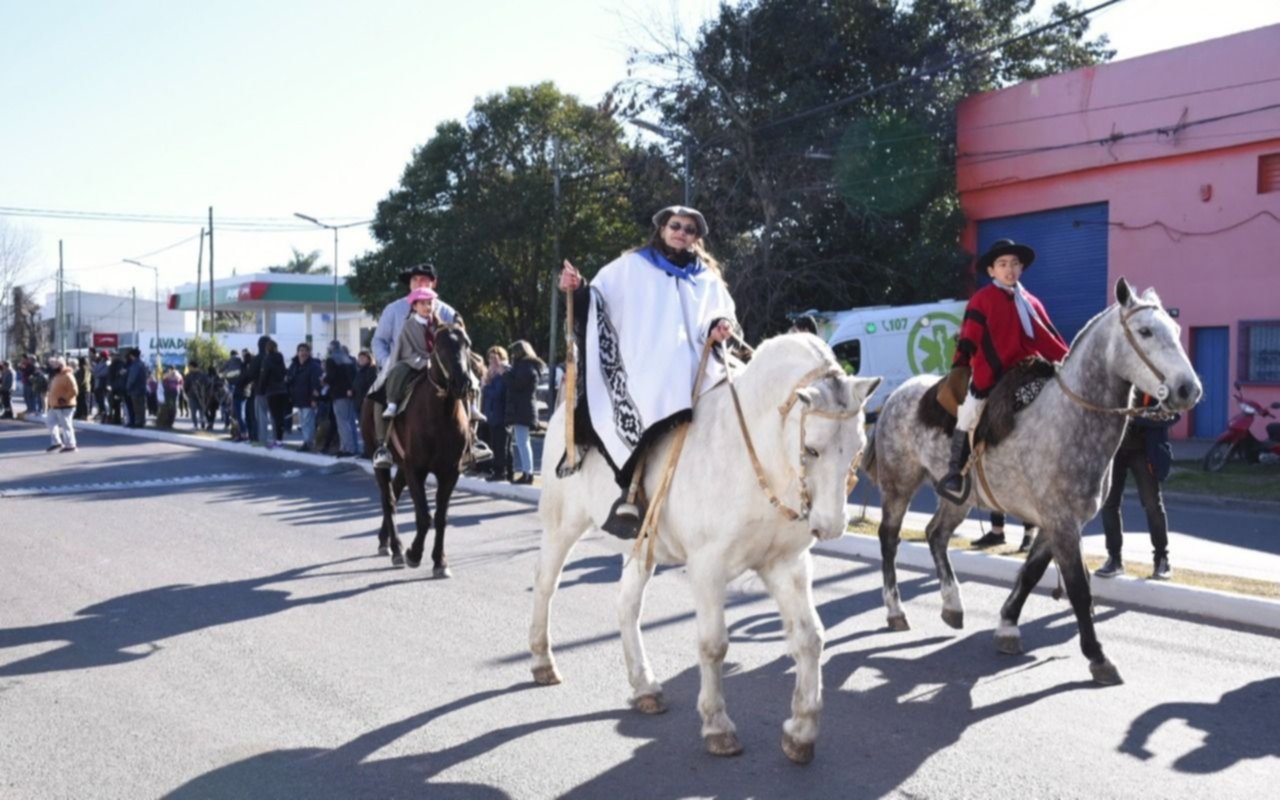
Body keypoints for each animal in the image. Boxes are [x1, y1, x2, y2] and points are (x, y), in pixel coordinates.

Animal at [360, 322, 476, 573]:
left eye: (467, 343)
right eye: (440, 346)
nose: (463, 383)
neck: (440, 414)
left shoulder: (450, 472)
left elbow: (441, 517)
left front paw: (440, 560)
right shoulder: (416, 469)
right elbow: (424, 516)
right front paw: (414, 553)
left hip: (403, 465)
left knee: (394, 491)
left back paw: (384, 540)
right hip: (381, 461)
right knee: (389, 499)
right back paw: (396, 548)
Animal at [529, 332, 880, 762]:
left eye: (858, 447)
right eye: (812, 449)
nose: (830, 527)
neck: (757, 457)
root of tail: (563, 411)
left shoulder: (786, 565)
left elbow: (809, 638)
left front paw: (801, 731)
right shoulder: (707, 567)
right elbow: (714, 645)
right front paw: (717, 726)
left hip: (642, 547)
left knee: (627, 605)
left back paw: (645, 687)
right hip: (561, 524)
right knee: (546, 584)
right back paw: (542, 661)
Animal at [865, 279, 1203, 680]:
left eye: (1177, 331)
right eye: (1146, 331)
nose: (1188, 390)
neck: (1069, 417)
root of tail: (895, 396)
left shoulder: (1056, 522)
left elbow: (1031, 572)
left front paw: (1008, 626)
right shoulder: (1061, 522)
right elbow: (1078, 588)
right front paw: (1098, 656)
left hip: (958, 498)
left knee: (936, 535)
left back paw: (952, 605)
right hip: (898, 486)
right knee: (889, 540)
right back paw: (895, 611)